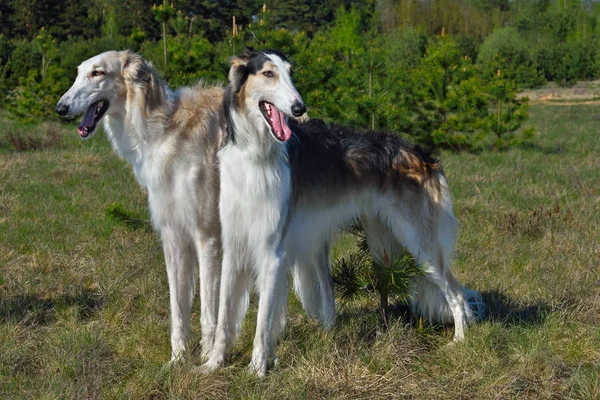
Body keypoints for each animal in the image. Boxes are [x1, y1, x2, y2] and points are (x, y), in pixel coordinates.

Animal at [55, 50, 224, 362]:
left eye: (98, 72)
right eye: (79, 72)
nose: (61, 108)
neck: (165, 131)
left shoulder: (207, 237)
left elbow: (208, 311)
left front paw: (207, 359)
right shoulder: (172, 235)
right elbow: (178, 308)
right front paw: (177, 359)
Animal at [204, 48, 480, 376]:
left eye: (290, 73)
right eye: (268, 73)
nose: (299, 108)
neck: (254, 154)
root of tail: (422, 155)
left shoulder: (272, 250)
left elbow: (262, 321)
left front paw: (257, 369)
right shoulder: (234, 245)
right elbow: (224, 316)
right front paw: (212, 363)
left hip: (420, 243)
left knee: (457, 293)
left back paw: (459, 341)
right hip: (382, 238)